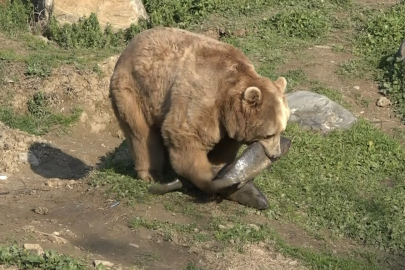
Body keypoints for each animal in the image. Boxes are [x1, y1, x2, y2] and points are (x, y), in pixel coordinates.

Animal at [109, 26, 288, 194]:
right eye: (269, 134)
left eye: (282, 130)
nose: (276, 154)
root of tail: (128, 47)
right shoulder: (202, 97)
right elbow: (185, 135)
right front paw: (210, 178)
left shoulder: (226, 120)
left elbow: (224, 145)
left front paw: (219, 166)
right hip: (134, 90)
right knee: (141, 133)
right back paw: (150, 174)